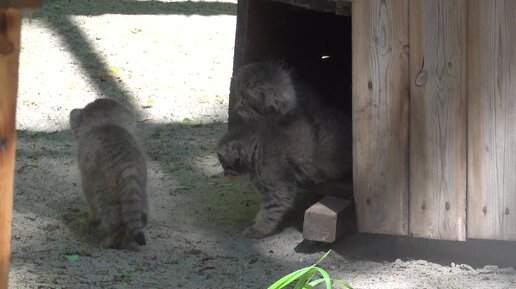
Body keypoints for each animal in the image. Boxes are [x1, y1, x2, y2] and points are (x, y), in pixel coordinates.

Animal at [69, 98, 148, 248]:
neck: (108, 123)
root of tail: (127, 163)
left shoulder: (87, 175)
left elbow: (89, 196)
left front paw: (92, 217)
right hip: (140, 187)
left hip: (105, 188)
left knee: (114, 219)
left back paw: (111, 241)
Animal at [216, 107, 352, 237]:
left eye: (224, 166)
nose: (224, 174)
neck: (255, 152)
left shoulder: (274, 182)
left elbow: (271, 210)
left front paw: (259, 229)